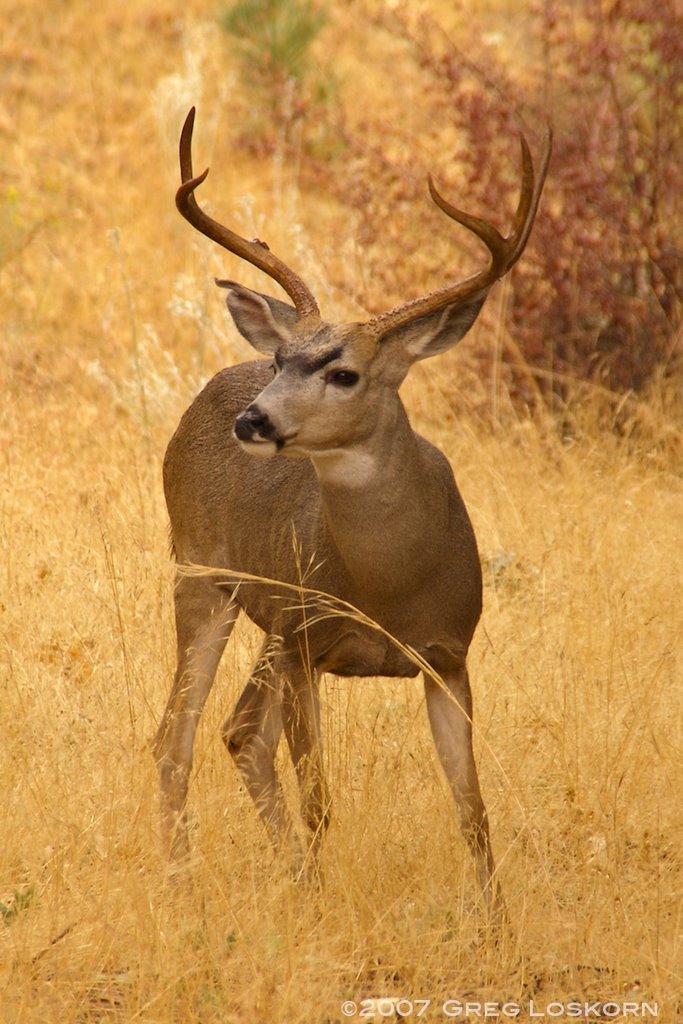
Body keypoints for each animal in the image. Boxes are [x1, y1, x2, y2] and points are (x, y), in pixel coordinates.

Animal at [154, 108, 548, 913]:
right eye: (283, 362)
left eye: (344, 373)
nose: (254, 419)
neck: (389, 583)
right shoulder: (309, 646)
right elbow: (320, 800)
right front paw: (320, 903)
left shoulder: (448, 656)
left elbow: (472, 810)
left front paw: (496, 924)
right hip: (206, 576)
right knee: (178, 737)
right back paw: (184, 883)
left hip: (272, 622)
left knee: (238, 732)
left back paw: (280, 874)